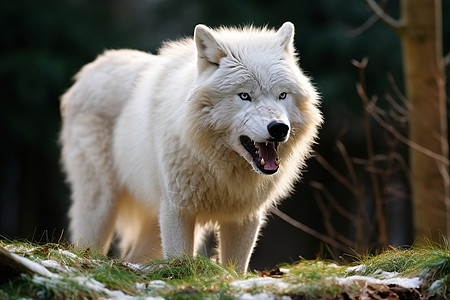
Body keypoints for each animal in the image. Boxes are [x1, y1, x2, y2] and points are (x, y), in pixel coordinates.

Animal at [60, 22, 320, 274]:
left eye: (282, 95)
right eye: (245, 96)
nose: (279, 128)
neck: (220, 170)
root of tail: (92, 67)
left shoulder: (245, 216)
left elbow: (237, 269)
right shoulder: (177, 209)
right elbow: (179, 258)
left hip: (151, 226)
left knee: (132, 258)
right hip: (101, 205)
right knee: (87, 245)